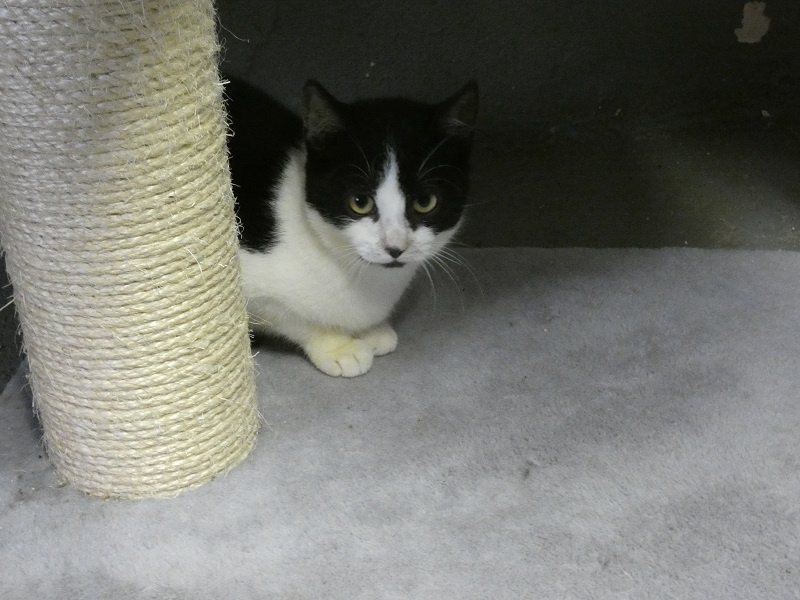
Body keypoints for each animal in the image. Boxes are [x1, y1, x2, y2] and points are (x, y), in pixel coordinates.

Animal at [224, 75, 478, 377]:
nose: (395, 247)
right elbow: (289, 316)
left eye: (425, 202)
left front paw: (371, 330)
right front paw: (337, 345)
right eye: (360, 202)